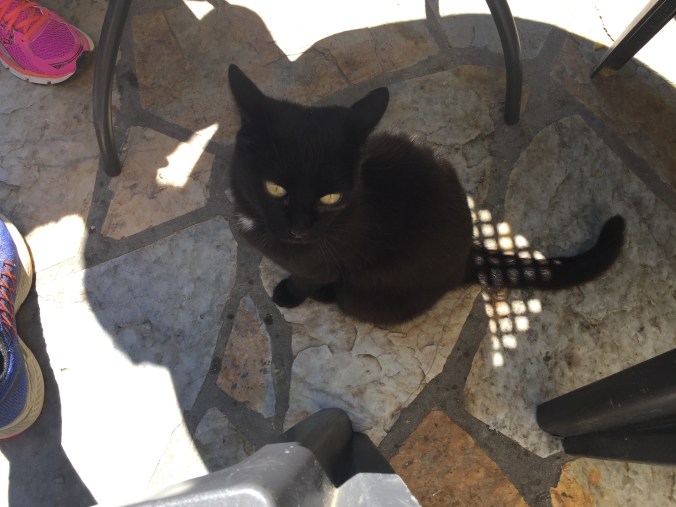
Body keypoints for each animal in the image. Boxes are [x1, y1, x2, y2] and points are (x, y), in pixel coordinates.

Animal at [227, 64, 625, 325]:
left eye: (330, 198)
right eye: (274, 187)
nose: (299, 229)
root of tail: (467, 257)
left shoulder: (322, 262)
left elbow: (306, 278)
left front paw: (289, 294)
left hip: (370, 295)